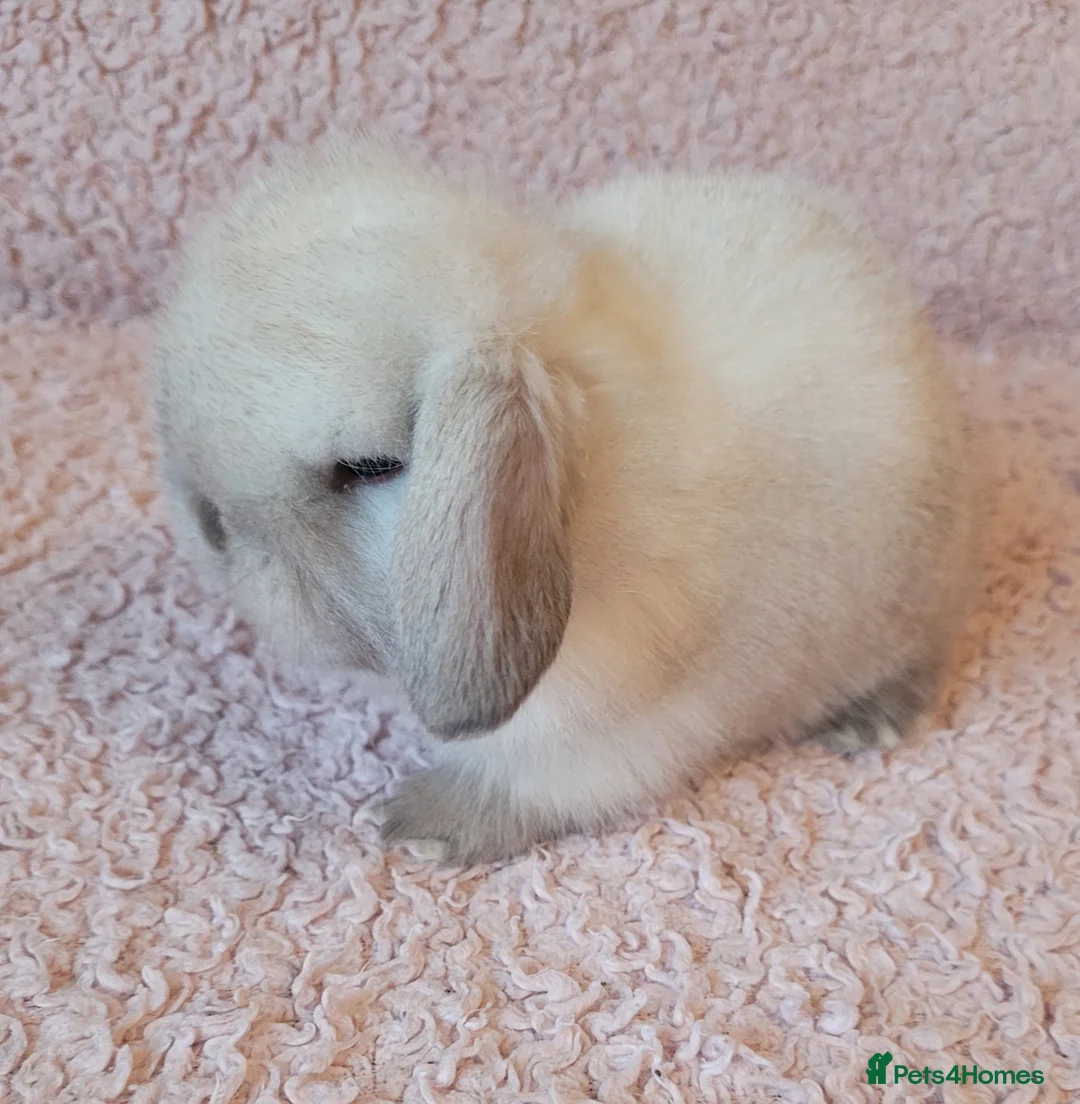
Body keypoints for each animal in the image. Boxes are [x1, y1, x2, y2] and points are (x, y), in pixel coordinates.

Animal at [152, 135, 979, 865]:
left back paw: (868, 724)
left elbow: (529, 787)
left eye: (369, 466)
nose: (209, 526)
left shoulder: (606, 738)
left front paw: (421, 828)